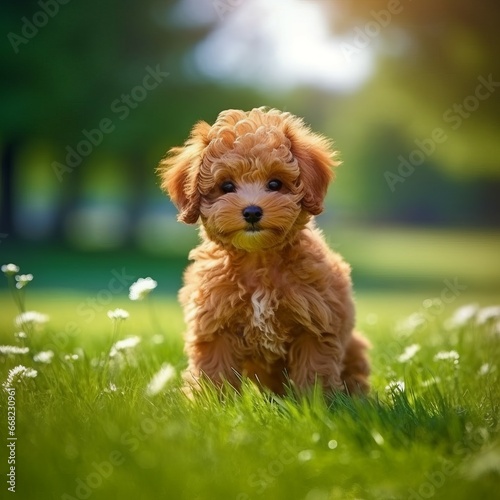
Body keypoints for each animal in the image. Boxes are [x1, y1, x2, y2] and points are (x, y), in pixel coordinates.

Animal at [158, 107, 370, 396]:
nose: (251, 211)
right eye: (226, 186)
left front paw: (314, 403)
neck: (258, 258)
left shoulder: (316, 325)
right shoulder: (214, 325)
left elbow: (314, 371)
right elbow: (215, 372)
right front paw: (211, 402)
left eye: (275, 184)